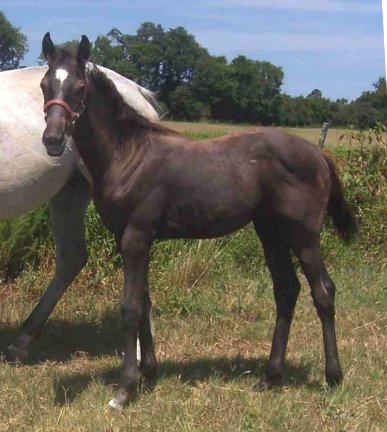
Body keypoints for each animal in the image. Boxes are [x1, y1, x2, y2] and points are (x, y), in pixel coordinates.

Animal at [40, 33, 358, 408]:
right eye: (45, 84)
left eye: (78, 86)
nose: (52, 140)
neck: (128, 155)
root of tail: (319, 155)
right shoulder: (129, 239)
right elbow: (144, 301)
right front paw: (149, 374)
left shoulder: (136, 236)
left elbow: (131, 307)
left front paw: (125, 389)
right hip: (270, 229)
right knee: (286, 289)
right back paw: (270, 377)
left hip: (303, 233)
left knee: (323, 291)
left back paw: (333, 376)